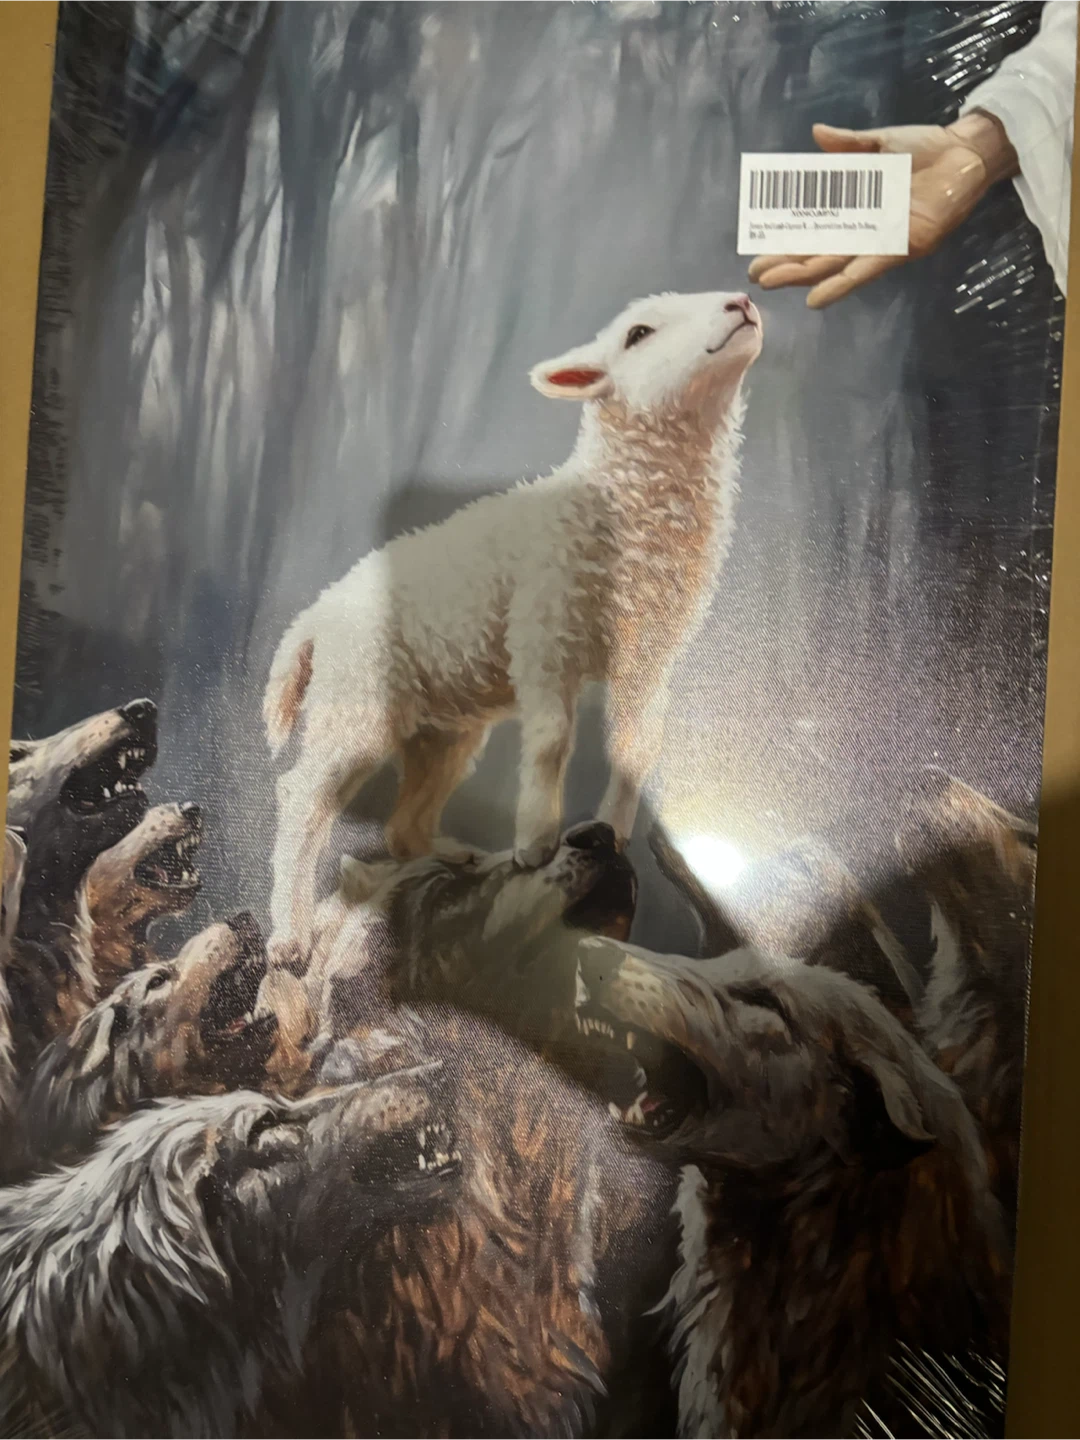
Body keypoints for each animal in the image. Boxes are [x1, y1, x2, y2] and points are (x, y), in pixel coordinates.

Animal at [264, 290, 762, 956]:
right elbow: (552, 738)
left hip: (443, 729)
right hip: (356, 702)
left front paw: (613, 828)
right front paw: (535, 844)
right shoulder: (544, 629)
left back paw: (447, 856)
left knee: (403, 822)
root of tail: (310, 618)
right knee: (301, 800)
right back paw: (290, 934)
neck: (620, 508)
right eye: (638, 334)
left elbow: (636, 745)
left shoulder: (649, 652)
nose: (742, 301)